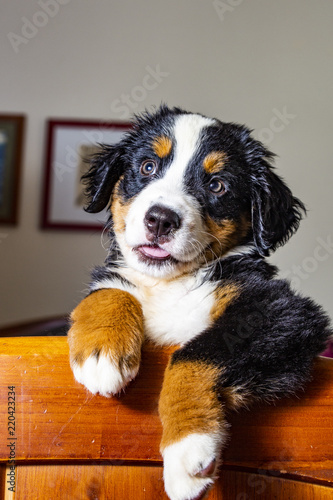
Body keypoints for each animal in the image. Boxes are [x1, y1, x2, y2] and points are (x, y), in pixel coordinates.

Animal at [67, 105, 330, 500]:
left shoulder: (282, 312)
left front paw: (188, 448)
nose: (160, 219)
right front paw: (101, 355)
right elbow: (110, 290)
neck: (172, 283)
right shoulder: (119, 278)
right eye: (147, 166)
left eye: (217, 185)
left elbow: (192, 354)